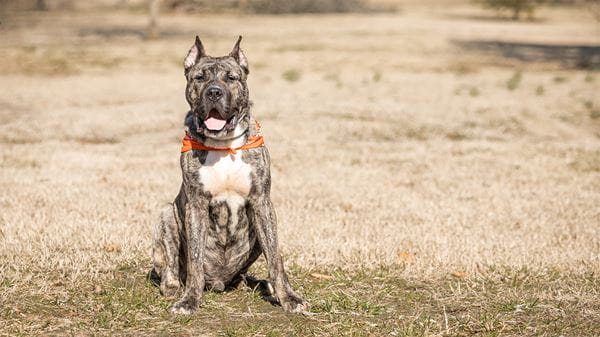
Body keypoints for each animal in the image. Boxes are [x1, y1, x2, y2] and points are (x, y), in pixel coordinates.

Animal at [150, 35, 310, 314]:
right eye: (199, 77)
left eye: (231, 78)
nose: (214, 92)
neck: (223, 144)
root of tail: (219, 282)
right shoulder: (196, 205)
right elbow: (195, 260)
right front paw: (189, 301)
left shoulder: (262, 202)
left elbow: (275, 258)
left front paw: (289, 297)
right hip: (166, 214)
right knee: (170, 264)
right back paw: (172, 287)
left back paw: (264, 285)